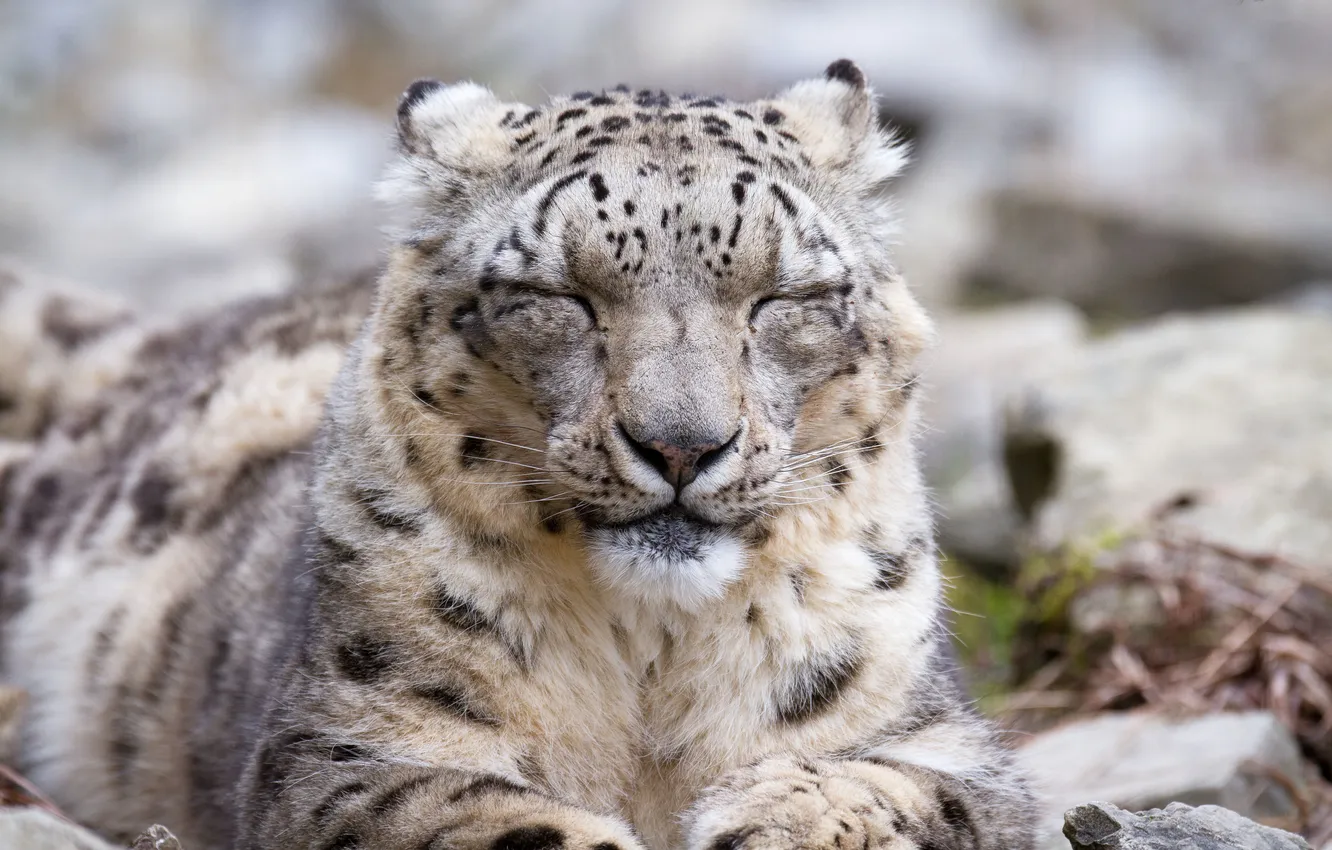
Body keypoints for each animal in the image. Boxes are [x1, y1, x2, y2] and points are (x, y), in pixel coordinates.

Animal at [0, 60, 1038, 850]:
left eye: (781, 298)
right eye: (558, 296)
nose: (682, 444)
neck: (651, 659)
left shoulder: (942, 740)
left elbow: (894, 792)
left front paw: (771, 822)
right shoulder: (352, 747)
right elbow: (483, 819)